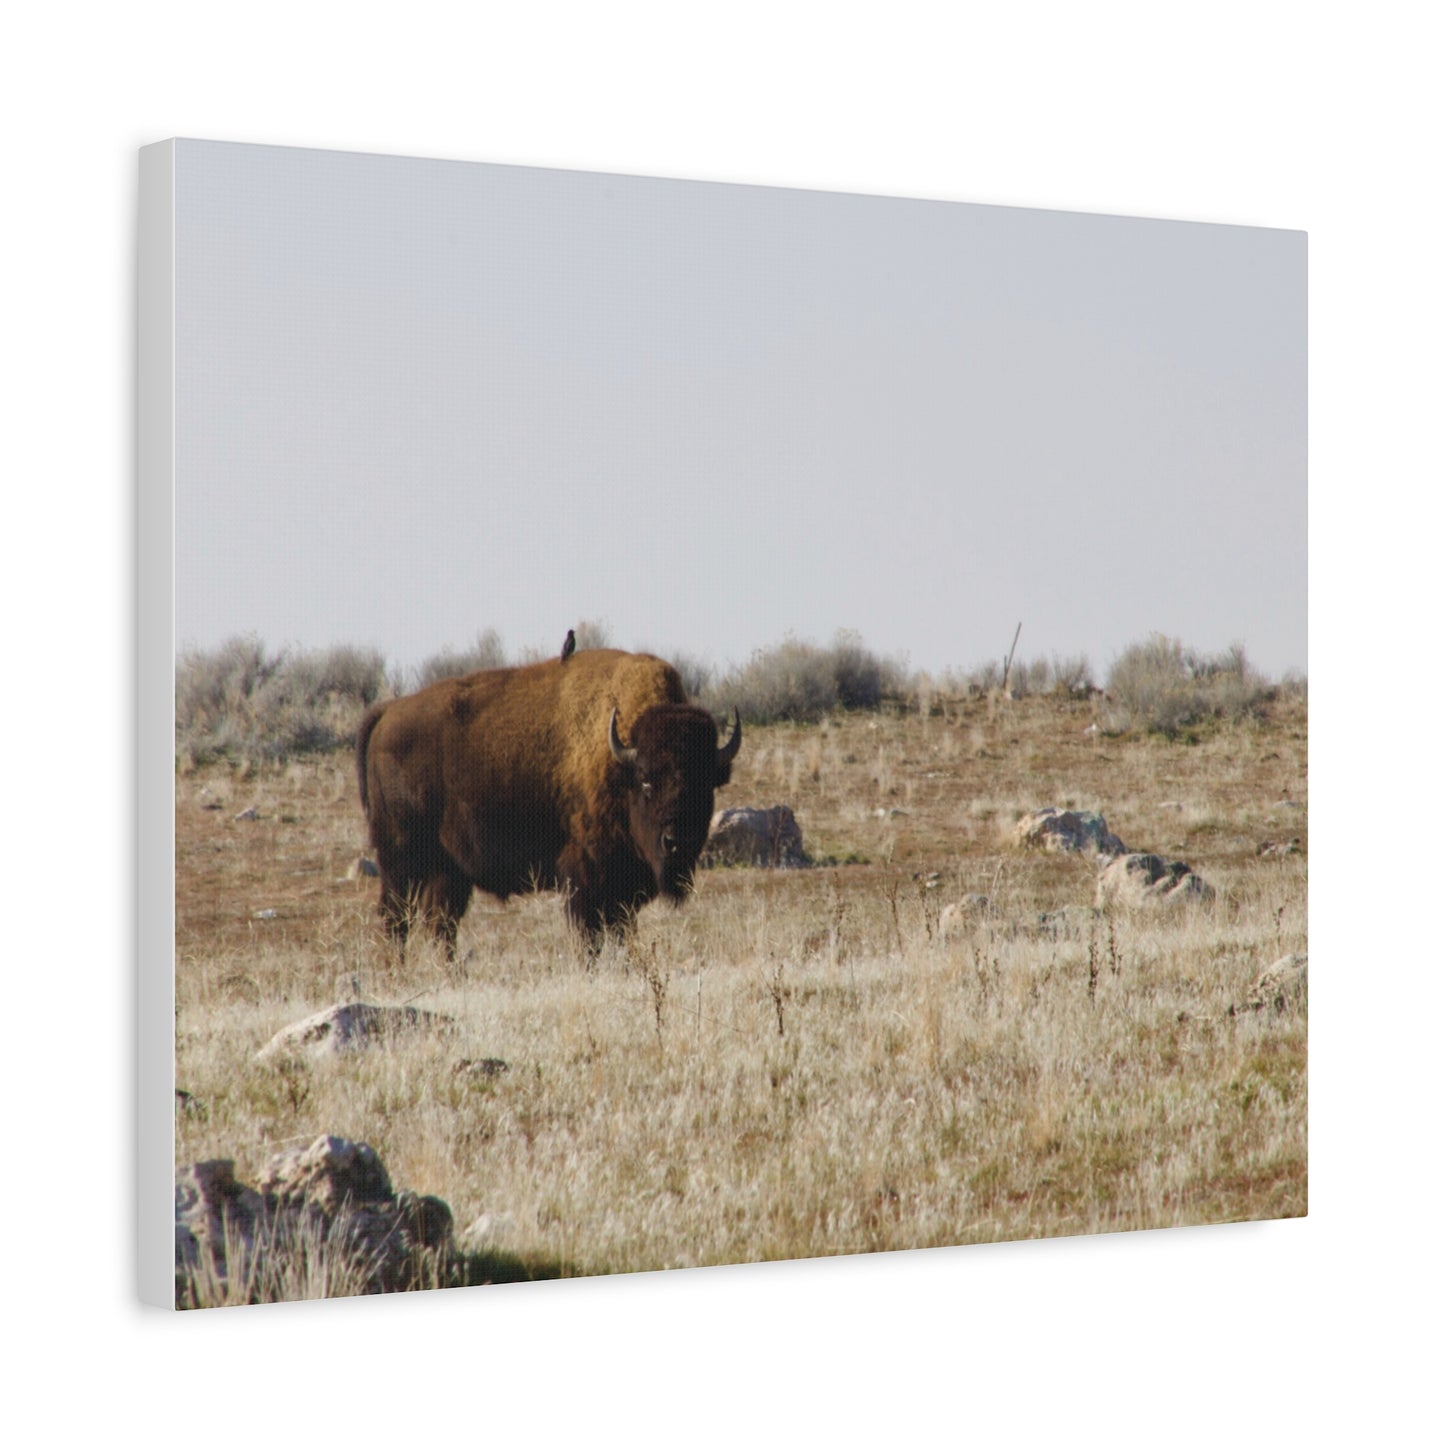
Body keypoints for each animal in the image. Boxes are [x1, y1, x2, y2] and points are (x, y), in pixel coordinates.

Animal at [356, 649, 740, 953]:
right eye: (646, 781)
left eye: (705, 785)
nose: (678, 841)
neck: (619, 762)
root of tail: (387, 713)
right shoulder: (586, 878)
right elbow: (591, 936)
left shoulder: (623, 891)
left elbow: (619, 932)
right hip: (401, 860)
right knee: (396, 919)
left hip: (447, 870)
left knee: (439, 924)